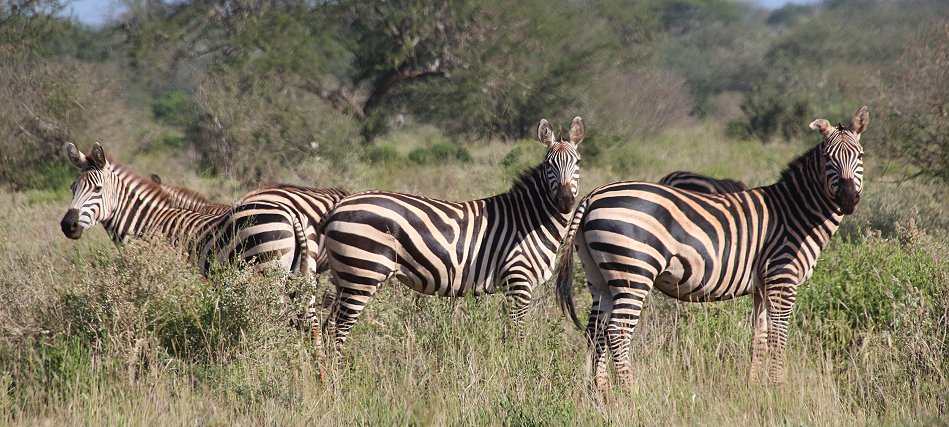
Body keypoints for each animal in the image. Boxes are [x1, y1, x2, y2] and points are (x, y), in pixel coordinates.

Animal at [320, 116, 584, 358]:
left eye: (578, 162)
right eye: (548, 164)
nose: (565, 201)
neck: (529, 218)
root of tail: (339, 206)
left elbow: (508, 332)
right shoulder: (518, 279)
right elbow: (517, 334)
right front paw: (520, 365)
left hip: (345, 276)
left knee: (328, 327)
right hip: (362, 274)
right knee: (338, 330)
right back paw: (340, 376)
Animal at [560, 106, 872, 392]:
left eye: (860, 156)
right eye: (828, 159)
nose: (849, 200)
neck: (796, 213)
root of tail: (592, 195)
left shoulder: (762, 286)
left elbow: (759, 337)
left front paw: (754, 387)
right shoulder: (782, 277)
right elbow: (778, 336)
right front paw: (778, 386)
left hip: (600, 275)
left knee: (595, 330)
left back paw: (600, 392)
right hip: (633, 272)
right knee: (617, 331)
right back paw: (629, 393)